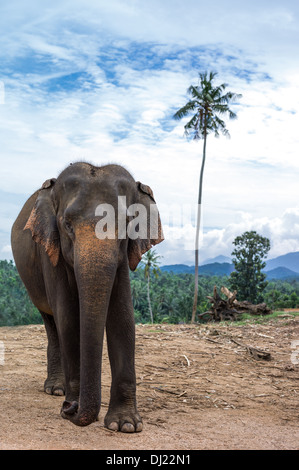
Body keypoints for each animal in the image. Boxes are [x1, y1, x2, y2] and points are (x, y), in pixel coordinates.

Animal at [10, 162, 164, 434]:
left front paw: (125, 425)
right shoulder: (51, 251)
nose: (69, 408)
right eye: (67, 225)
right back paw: (56, 390)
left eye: (127, 224)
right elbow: (68, 316)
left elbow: (123, 317)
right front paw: (73, 402)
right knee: (51, 321)